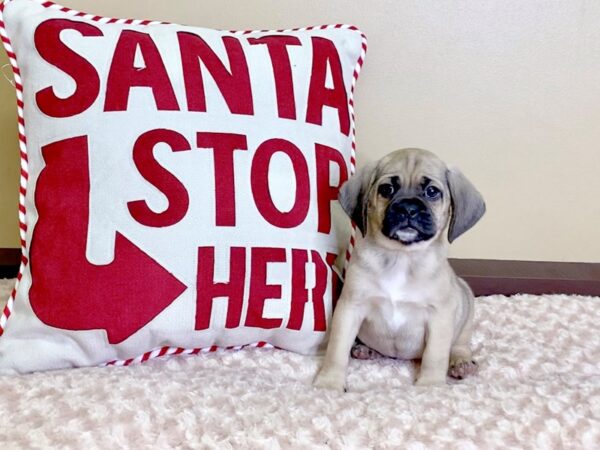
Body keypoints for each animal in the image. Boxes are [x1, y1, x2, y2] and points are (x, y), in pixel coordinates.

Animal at [312, 149, 486, 392]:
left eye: (432, 191)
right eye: (387, 189)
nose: (408, 208)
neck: (401, 256)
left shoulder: (439, 316)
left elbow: (435, 356)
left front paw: (430, 386)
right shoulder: (350, 307)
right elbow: (336, 350)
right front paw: (329, 383)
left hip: (465, 303)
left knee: (460, 344)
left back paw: (461, 363)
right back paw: (364, 349)